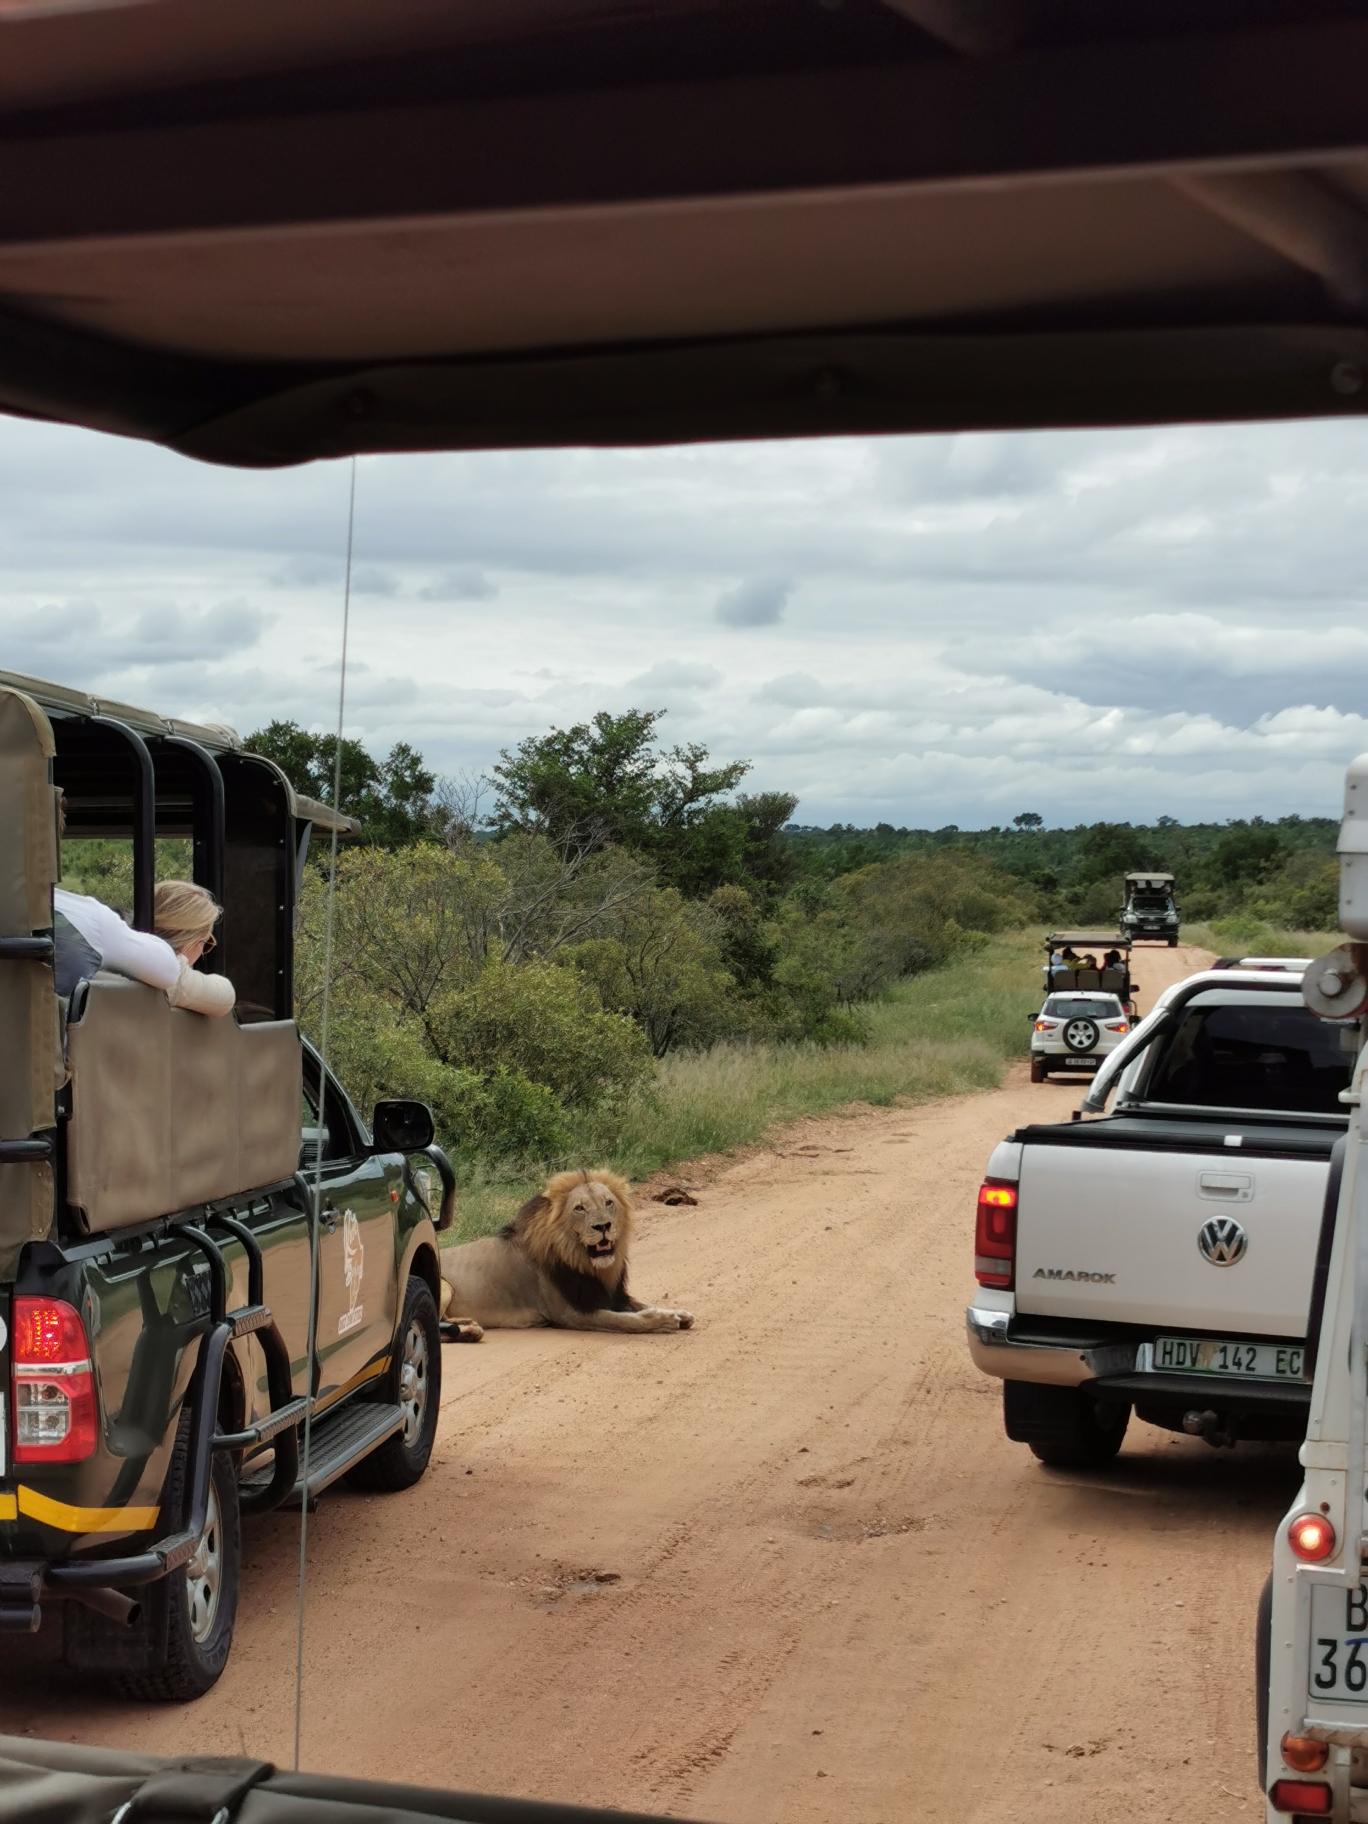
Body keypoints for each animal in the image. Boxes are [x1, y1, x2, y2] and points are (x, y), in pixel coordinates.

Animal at [439, 1167, 696, 1342]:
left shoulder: (608, 1294)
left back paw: (468, 1326)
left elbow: (639, 1304)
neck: (584, 1261)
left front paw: (678, 1313)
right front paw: (661, 1320)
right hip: (444, 1285)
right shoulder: (569, 1313)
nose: (603, 1226)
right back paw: (469, 1332)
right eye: (579, 1208)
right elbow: (622, 1320)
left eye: (608, 1203)